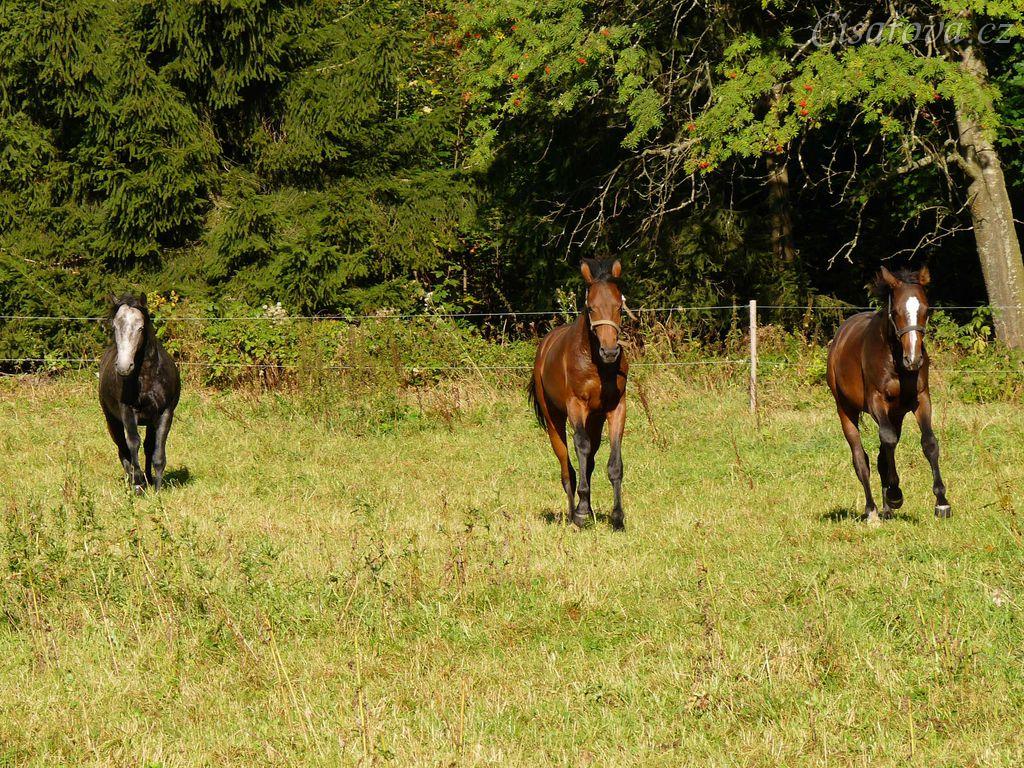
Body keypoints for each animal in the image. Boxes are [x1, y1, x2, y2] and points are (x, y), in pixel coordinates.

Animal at [99, 294, 181, 493]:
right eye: (115, 327)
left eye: (140, 327)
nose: (123, 367)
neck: (148, 375)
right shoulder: (127, 411)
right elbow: (133, 442)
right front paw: (137, 483)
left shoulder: (165, 413)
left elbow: (157, 451)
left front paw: (157, 488)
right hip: (112, 420)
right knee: (122, 448)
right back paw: (132, 480)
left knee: (148, 447)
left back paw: (148, 479)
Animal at [529, 258, 629, 529]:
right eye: (591, 308)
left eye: (620, 308)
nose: (610, 352)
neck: (597, 365)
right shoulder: (576, 406)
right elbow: (581, 446)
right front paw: (582, 513)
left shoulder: (616, 408)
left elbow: (614, 463)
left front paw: (617, 517)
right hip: (554, 419)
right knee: (567, 467)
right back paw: (574, 513)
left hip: (595, 418)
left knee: (590, 461)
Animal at [826, 266, 950, 523]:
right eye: (896, 311)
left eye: (925, 309)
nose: (913, 359)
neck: (895, 360)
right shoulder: (876, 400)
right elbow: (888, 440)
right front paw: (895, 494)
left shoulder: (921, 400)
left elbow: (929, 442)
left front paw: (942, 502)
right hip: (846, 410)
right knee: (860, 459)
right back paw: (872, 511)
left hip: (896, 414)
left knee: (882, 456)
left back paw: (886, 509)